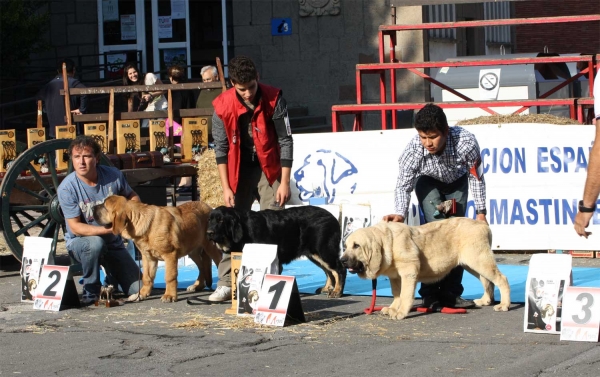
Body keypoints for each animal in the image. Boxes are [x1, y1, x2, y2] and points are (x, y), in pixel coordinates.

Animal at [94, 195, 223, 302]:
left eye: (104, 206)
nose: (93, 207)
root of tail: (209, 207)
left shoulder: (170, 255)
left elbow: (170, 277)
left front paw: (170, 295)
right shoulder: (149, 258)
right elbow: (147, 277)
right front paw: (141, 294)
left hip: (211, 248)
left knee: (218, 263)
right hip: (193, 251)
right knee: (202, 267)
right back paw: (197, 285)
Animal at [207, 204, 344, 298]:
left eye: (221, 220)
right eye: (210, 220)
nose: (209, 233)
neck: (244, 228)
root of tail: (333, 218)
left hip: (323, 250)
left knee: (339, 269)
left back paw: (337, 291)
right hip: (315, 254)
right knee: (329, 271)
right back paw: (327, 288)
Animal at [342, 216, 510, 318]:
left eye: (356, 246)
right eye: (345, 246)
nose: (342, 260)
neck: (386, 243)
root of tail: (483, 224)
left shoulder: (409, 272)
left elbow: (405, 295)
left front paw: (401, 312)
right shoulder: (395, 277)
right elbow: (396, 294)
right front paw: (393, 308)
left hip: (479, 260)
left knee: (501, 279)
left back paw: (504, 305)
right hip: (472, 264)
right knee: (487, 281)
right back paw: (485, 300)